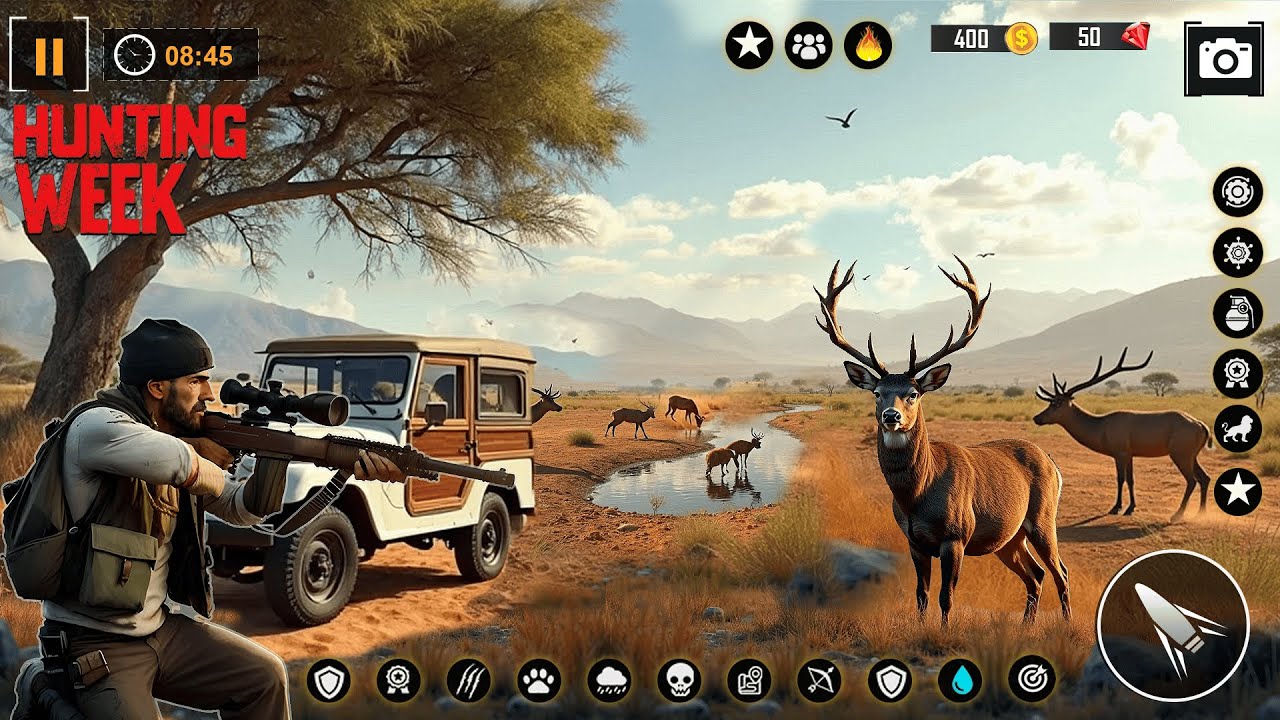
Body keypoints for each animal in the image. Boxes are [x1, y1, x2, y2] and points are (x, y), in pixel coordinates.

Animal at [816, 256, 1070, 626]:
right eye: (877, 392)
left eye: (913, 393)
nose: (891, 416)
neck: (918, 495)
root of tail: (1052, 462)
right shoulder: (914, 542)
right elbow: (921, 595)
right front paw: (921, 627)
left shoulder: (956, 536)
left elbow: (945, 596)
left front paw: (943, 631)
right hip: (1008, 538)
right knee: (1035, 575)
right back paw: (1027, 626)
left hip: (1042, 519)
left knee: (1059, 571)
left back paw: (1066, 623)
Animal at [1033, 349, 1213, 522]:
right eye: (1050, 402)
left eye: (1056, 404)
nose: (1037, 418)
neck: (1101, 427)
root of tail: (1201, 425)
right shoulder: (1130, 454)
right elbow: (1131, 479)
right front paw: (1131, 508)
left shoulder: (1119, 452)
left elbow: (1121, 479)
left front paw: (1116, 507)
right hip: (1192, 455)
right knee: (1205, 477)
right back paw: (1201, 513)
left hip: (1180, 453)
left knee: (1192, 480)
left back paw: (1177, 515)